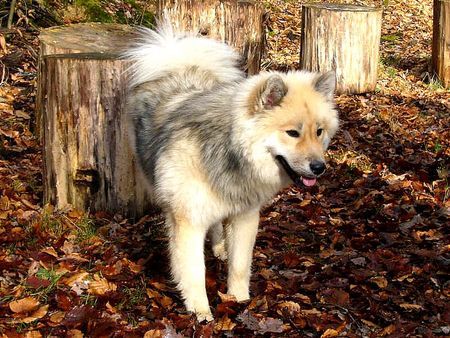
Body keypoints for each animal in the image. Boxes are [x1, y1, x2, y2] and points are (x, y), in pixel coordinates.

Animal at [123, 21, 338, 322]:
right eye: (292, 133)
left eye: (319, 132)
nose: (319, 168)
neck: (231, 154)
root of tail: (177, 62)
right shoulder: (189, 222)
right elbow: (194, 272)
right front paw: (201, 313)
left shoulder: (244, 217)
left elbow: (240, 265)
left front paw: (240, 301)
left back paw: (219, 248)